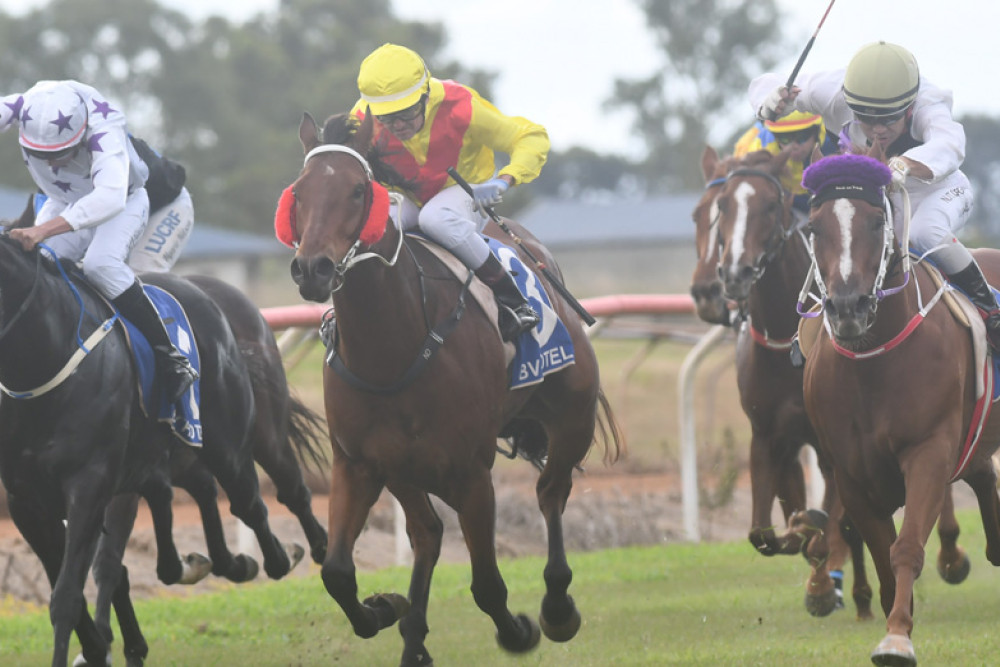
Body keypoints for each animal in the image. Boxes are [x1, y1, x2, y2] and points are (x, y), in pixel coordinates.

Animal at [0, 237, 296, 664]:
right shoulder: (26, 501)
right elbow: (74, 587)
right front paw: (97, 647)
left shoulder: (89, 488)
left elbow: (66, 598)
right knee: (186, 489)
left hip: (227, 445)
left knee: (249, 503)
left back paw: (277, 557)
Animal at [284, 112, 624, 664]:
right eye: (299, 192)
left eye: (358, 190)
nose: (312, 268)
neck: (392, 350)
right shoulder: (358, 462)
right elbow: (336, 572)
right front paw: (385, 608)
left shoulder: (470, 472)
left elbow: (487, 583)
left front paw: (519, 631)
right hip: (404, 468)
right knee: (427, 533)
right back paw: (413, 639)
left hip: (572, 418)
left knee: (551, 493)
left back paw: (556, 608)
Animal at [804, 153, 1000, 667]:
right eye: (814, 226)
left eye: (877, 221)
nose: (848, 307)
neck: (874, 364)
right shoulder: (852, 475)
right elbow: (881, 554)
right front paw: (897, 623)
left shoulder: (928, 452)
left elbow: (907, 546)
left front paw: (896, 638)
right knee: (984, 477)